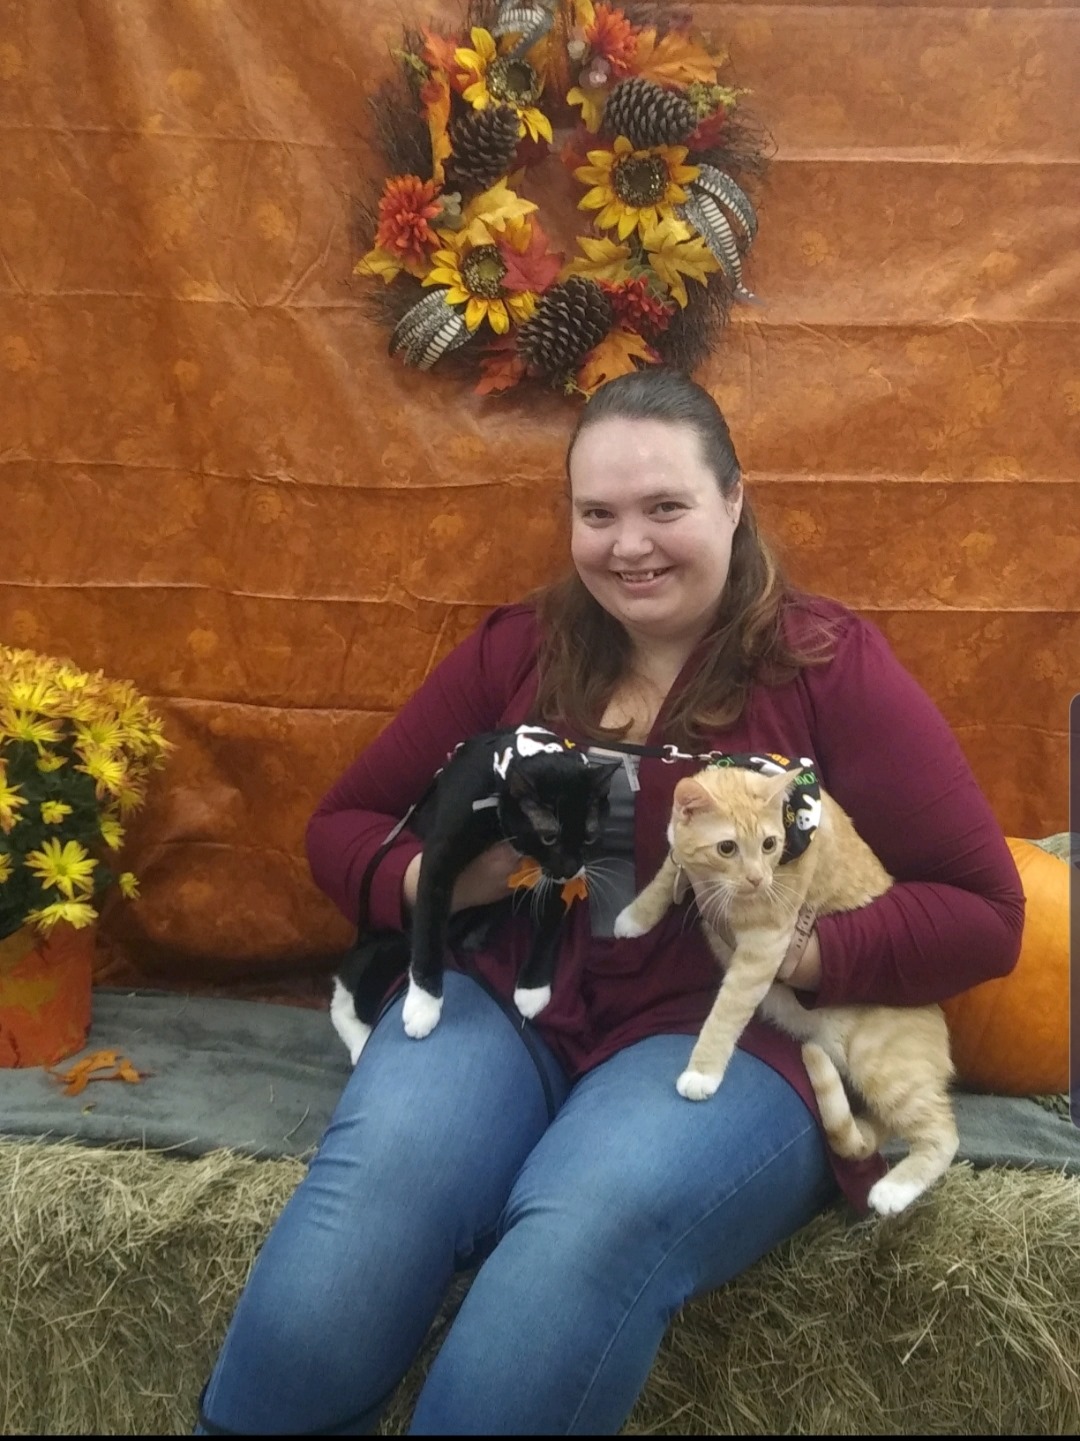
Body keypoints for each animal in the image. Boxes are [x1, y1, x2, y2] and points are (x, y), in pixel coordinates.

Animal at [331, 725, 620, 1065]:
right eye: (548, 837)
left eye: (589, 835)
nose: (571, 869)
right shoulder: (439, 853)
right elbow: (429, 926)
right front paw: (423, 1006)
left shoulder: (552, 873)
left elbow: (550, 920)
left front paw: (532, 989)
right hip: (385, 945)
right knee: (349, 984)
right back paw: (360, 1039)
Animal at [614, 756, 958, 1217]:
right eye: (727, 848)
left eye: (769, 844)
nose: (758, 880)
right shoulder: (684, 861)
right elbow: (669, 869)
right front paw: (636, 916)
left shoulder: (764, 948)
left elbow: (724, 1015)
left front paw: (702, 1072)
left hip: (886, 1069)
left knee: (944, 1133)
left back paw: (892, 1190)